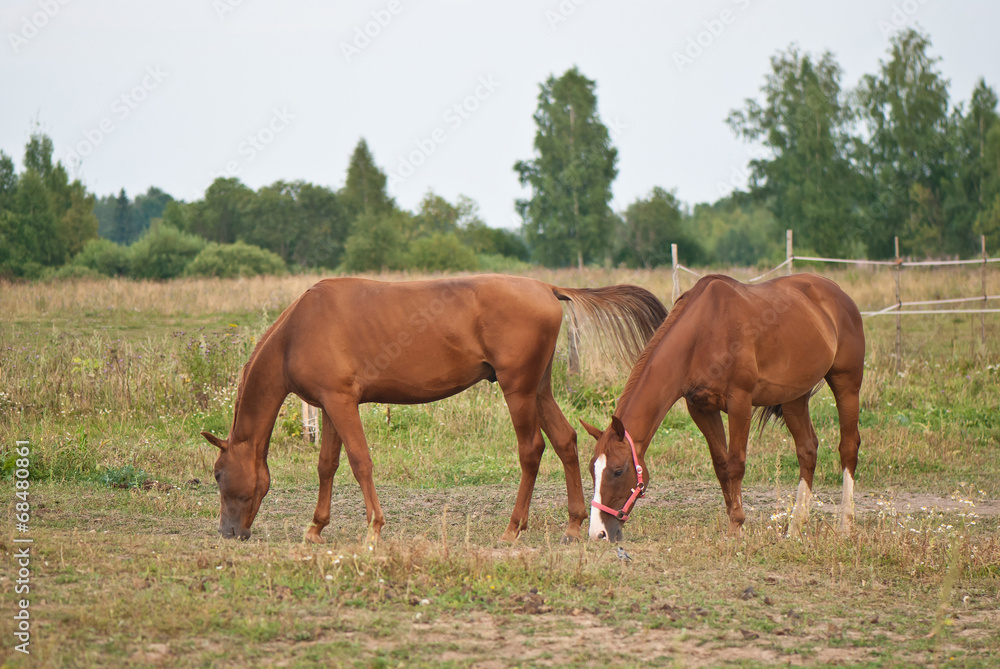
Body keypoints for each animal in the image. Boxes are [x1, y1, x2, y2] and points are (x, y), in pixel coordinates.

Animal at [199, 276, 668, 544]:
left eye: (219, 475)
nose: (228, 532)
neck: (298, 330)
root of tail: (547, 288)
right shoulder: (331, 406)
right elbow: (327, 465)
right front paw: (316, 527)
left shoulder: (341, 404)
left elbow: (360, 462)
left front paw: (374, 528)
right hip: (538, 389)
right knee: (566, 441)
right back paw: (572, 525)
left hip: (518, 391)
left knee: (531, 451)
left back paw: (512, 529)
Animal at [584, 274, 864, 540]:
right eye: (592, 470)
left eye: (618, 471)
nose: (599, 533)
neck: (702, 333)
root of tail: (837, 292)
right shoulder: (701, 408)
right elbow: (721, 466)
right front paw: (735, 524)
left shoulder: (740, 403)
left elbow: (736, 464)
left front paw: (736, 526)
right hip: (795, 397)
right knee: (807, 450)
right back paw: (795, 528)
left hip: (847, 385)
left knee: (848, 447)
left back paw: (845, 525)